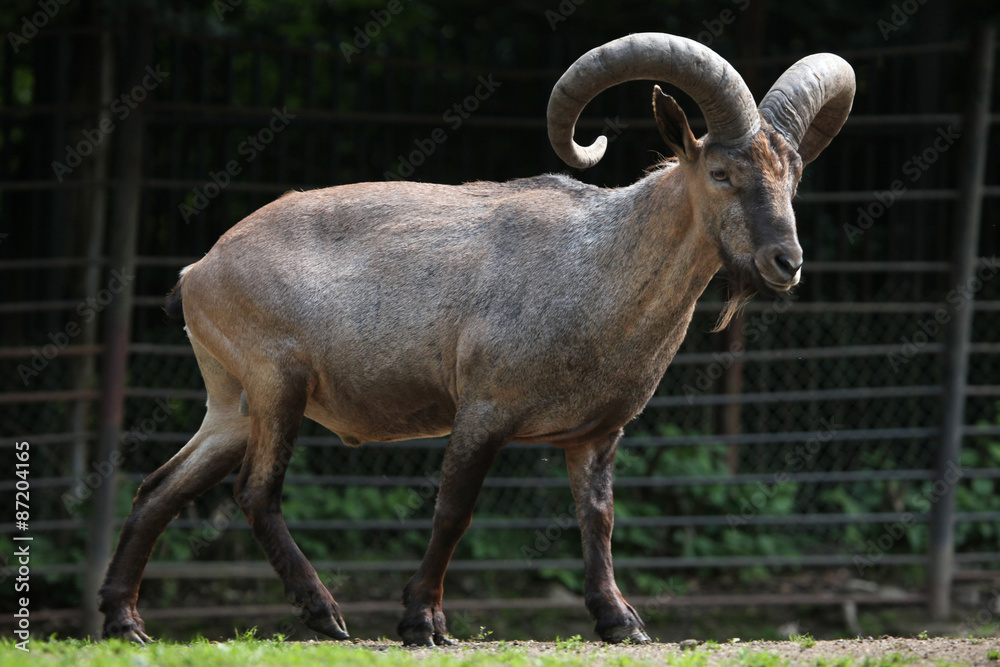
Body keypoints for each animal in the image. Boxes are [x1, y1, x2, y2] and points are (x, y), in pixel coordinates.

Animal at [99, 33, 854, 646]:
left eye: (793, 174)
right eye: (722, 173)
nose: (786, 261)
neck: (598, 265)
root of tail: (199, 270)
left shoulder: (595, 433)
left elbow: (599, 519)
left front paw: (621, 621)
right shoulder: (485, 409)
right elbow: (454, 511)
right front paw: (423, 622)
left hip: (232, 402)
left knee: (159, 488)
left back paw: (124, 621)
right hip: (277, 380)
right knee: (255, 492)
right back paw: (324, 613)